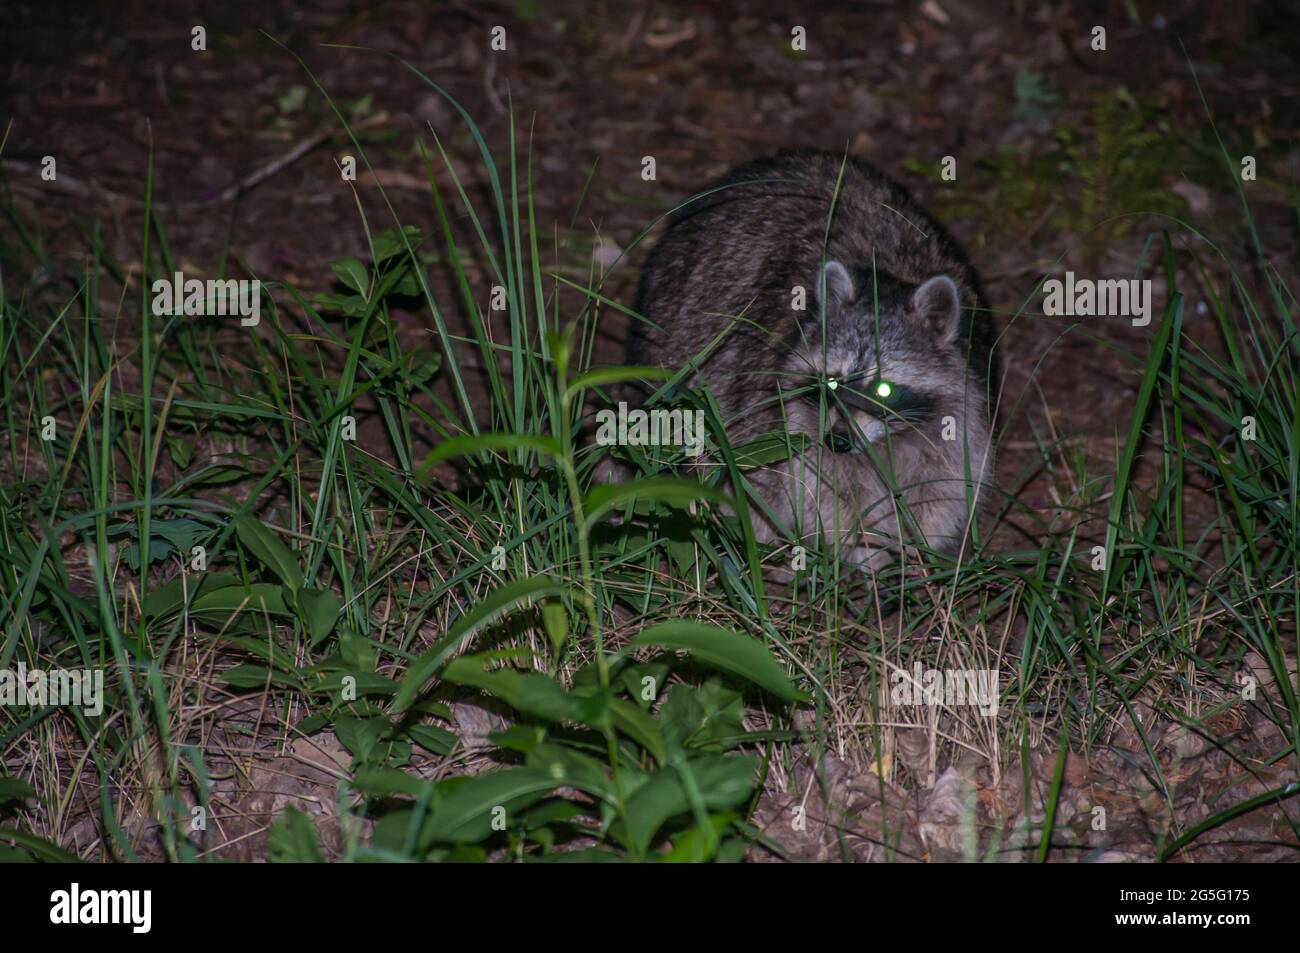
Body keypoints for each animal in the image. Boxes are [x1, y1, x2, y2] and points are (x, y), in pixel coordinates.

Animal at [627, 151, 995, 568]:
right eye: (831, 380)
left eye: (883, 389)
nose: (838, 440)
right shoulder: (776, 400)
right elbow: (806, 483)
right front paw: (849, 545)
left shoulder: (962, 401)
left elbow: (946, 483)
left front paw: (909, 547)